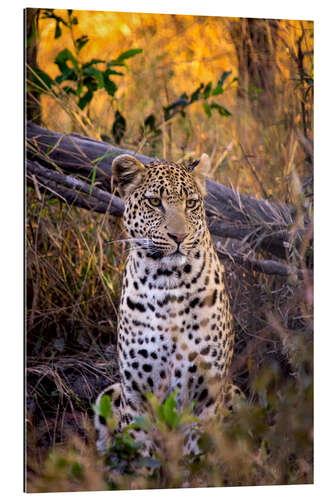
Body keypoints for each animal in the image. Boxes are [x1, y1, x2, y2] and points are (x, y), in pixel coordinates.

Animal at [93, 153, 239, 460]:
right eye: (154, 202)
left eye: (191, 203)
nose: (179, 237)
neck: (168, 284)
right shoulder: (136, 397)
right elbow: (142, 458)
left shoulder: (206, 398)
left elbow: (198, 459)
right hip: (111, 392)